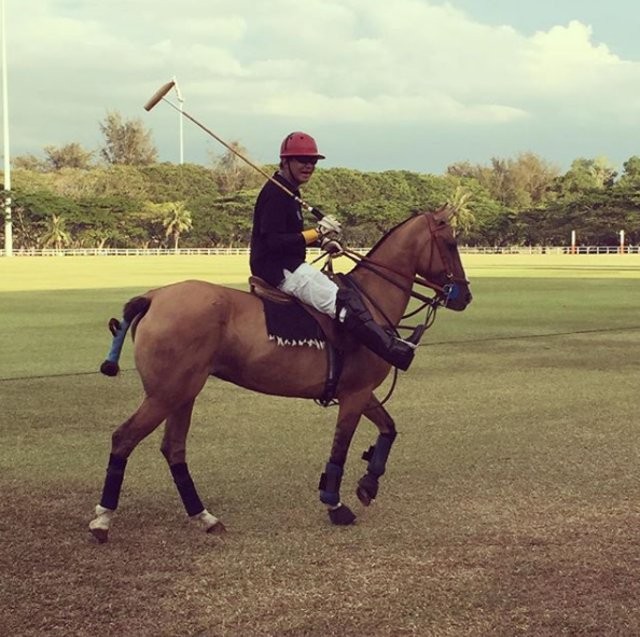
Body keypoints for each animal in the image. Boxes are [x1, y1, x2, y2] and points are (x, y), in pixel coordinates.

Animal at [89, 205, 470, 540]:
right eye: (451, 243)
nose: (464, 296)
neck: (371, 303)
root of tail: (153, 297)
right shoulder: (354, 394)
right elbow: (340, 448)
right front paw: (336, 505)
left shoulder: (360, 391)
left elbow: (389, 428)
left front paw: (368, 484)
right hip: (166, 392)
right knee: (124, 438)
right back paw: (103, 520)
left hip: (183, 391)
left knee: (173, 448)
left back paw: (205, 517)